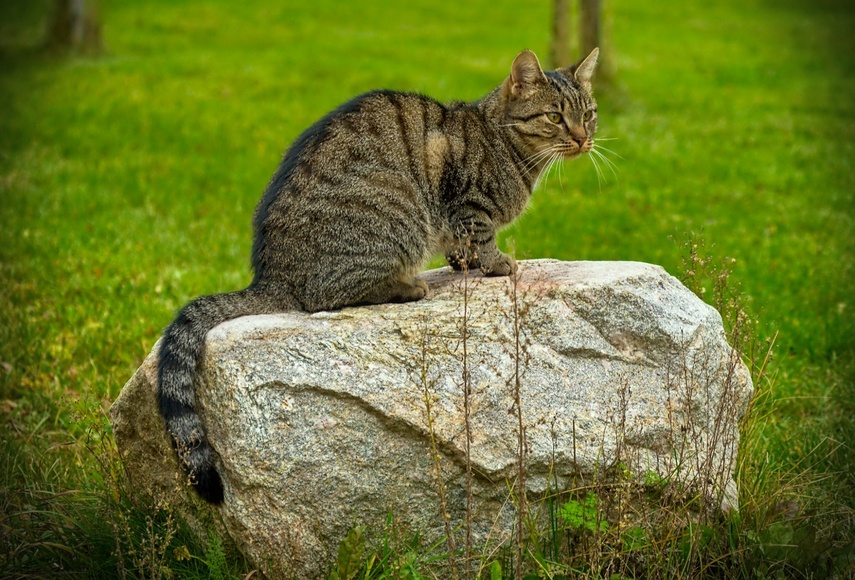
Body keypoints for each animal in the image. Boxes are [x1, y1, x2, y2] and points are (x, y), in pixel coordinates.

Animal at [160, 48, 600, 502]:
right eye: (555, 117)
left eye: (589, 114)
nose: (583, 138)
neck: (509, 146)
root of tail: (271, 275)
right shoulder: (468, 204)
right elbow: (482, 235)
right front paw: (496, 264)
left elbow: (461, 249)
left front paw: (464, 263)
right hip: (394, 207)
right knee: (327, 296)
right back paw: (408, 286)